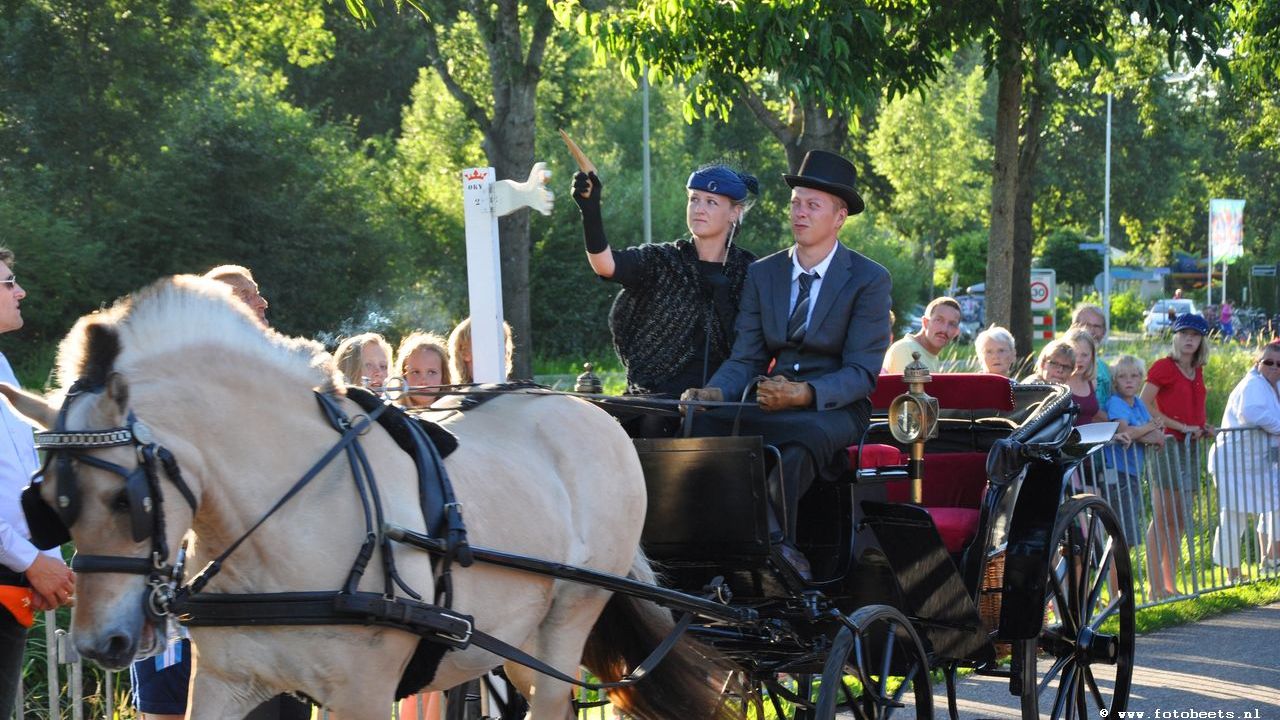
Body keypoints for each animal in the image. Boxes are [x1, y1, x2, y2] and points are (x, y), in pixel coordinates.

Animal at [1, 275, 735, 720]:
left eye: (126, 501)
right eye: (50, 507)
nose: (100, 643)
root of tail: (594, 414)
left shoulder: (362, 691)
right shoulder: (222, 684)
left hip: (566, 625)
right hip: (511, 644)